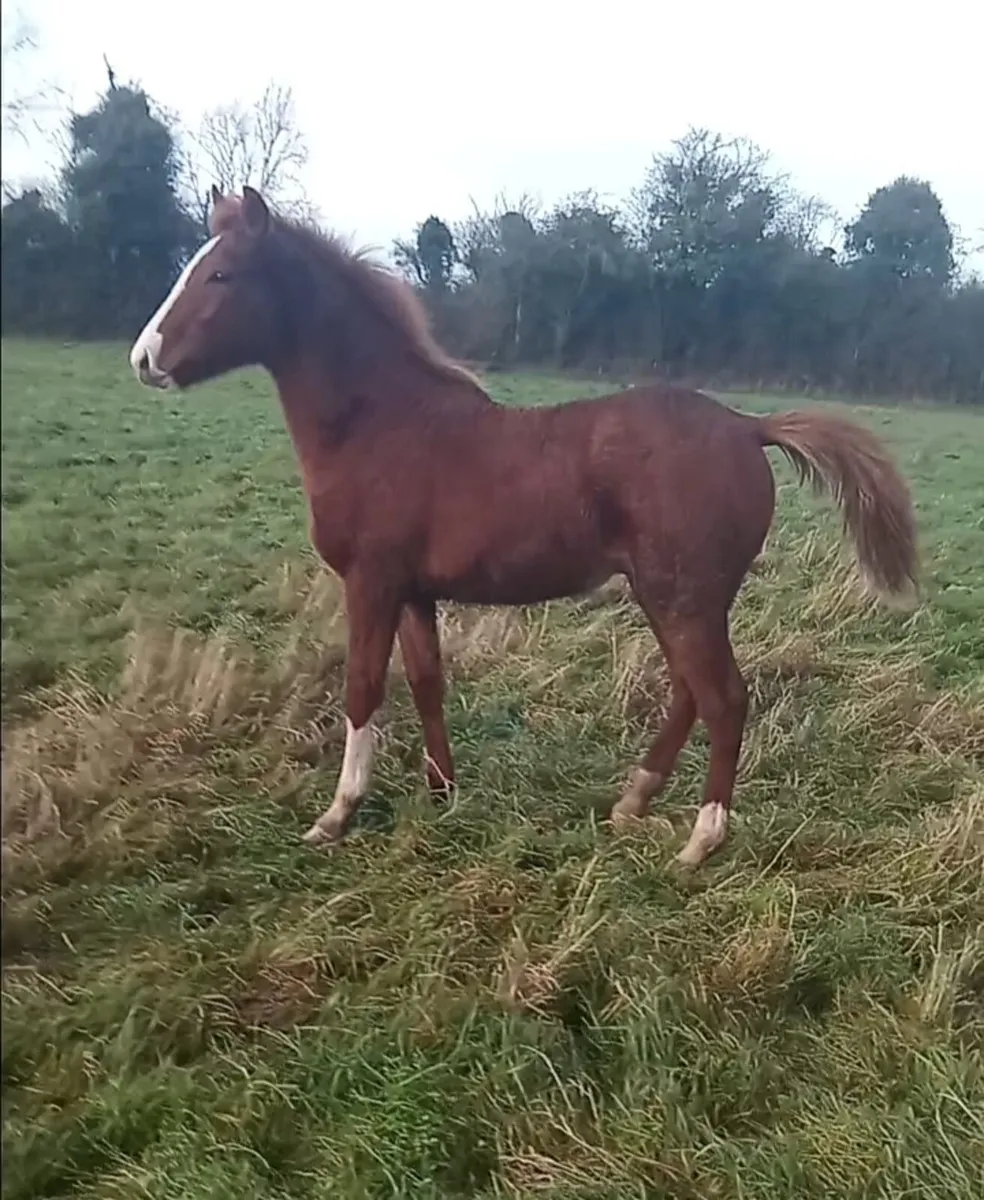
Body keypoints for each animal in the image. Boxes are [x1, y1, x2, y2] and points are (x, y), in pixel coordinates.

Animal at [128, 186, 918, 867]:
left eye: (221, 274)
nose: (144, 358)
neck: (382, 425)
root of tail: (748, 426)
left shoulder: (370, 581)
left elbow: (362, 688)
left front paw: (336, 816)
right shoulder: (414, 591)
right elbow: (427, 682)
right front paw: (442, 793)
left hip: (683, 596)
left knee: (723, 700)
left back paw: (699, 843)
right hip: (675, 596)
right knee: (690, 694)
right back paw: (630, 804)